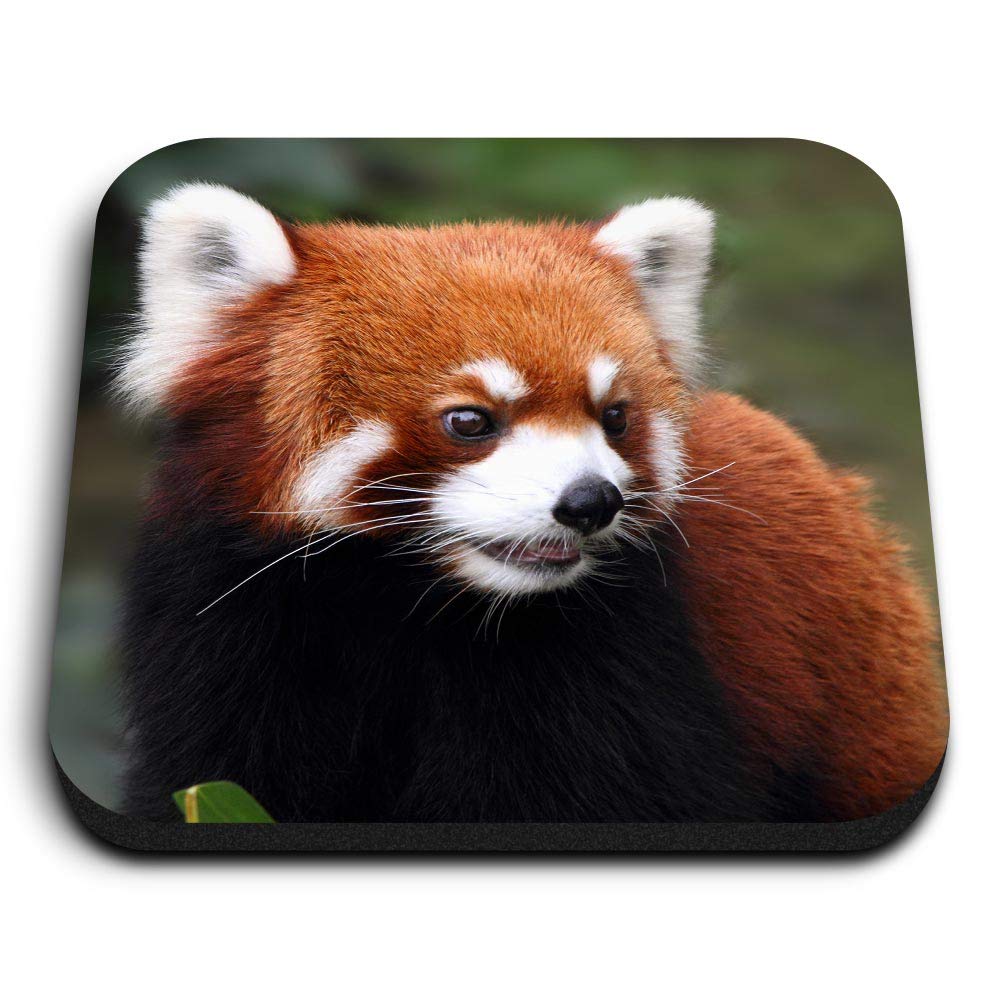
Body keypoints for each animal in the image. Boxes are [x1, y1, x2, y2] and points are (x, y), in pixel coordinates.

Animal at [113, 183, 947, 822]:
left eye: (614, 416)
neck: (411, 605)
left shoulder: (623, 660)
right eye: (470, 421)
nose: (590, 501)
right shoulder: (233, 628)